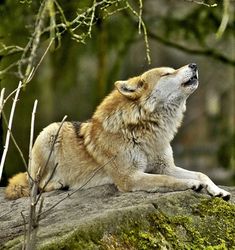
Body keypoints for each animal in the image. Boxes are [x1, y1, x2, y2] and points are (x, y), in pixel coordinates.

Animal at [5, 63, 229, 200]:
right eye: (167, 73)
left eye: (172, 70)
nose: (194, 65)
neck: (146, 128)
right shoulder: (130, 177)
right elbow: (169, 180)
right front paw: (192, 184)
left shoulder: (165, 166)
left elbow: (201, 173)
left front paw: (218, 190)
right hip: (50, 132)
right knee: (36, 187)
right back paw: (59, 183)